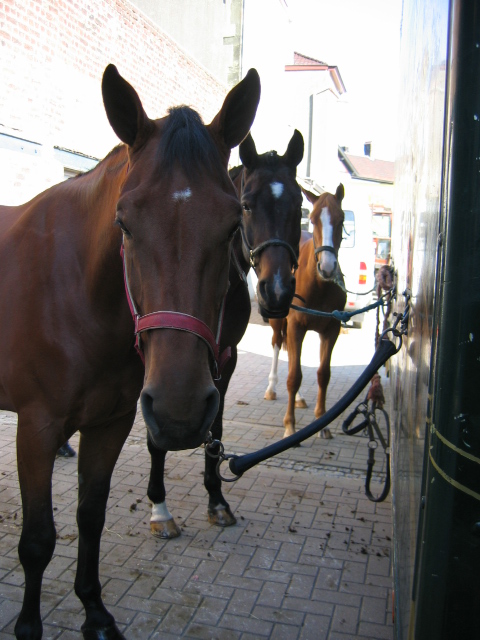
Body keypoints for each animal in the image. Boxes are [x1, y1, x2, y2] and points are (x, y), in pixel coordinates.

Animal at [0, 63, 260, 640]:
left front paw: (95, 612)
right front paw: (29, 625)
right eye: (124, 222)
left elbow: (90, 519)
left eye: (234, 223)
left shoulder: (110, 424)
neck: (74, 293)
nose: (181, 412)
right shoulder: (37, 428)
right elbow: (37, 541)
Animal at [145, 129, 304, 536]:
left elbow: (214, 428)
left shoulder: (223, 357)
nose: (276, 292)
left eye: (299, 205)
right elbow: (156, 434)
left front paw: (216, 499)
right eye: (245, 206)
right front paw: (159, 507)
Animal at [264, 182, 346, 438]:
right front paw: (290, 425)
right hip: (279, 322)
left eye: (341, 219)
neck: (319, 285)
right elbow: (293, 376)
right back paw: (271, 388)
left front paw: (322, 422)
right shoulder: (296, 326)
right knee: (277, 344)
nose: (328, 267)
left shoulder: (331, 330)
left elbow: (323, 374)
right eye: (312, 219)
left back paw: (299, 399)